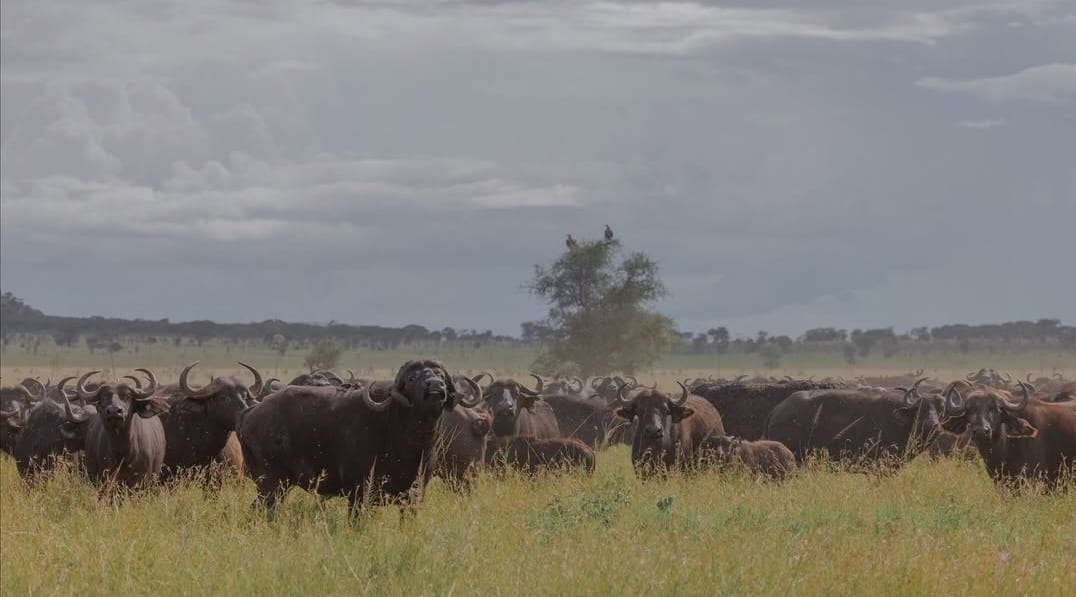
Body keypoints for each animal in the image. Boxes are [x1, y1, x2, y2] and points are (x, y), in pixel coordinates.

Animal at [237, 360, 481, 518]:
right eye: (413, 378)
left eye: (441, 377)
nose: (436, 386)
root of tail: (251, 411)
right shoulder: (358, 494)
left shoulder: (414, 494)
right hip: (269, 483)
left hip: (280, 485)